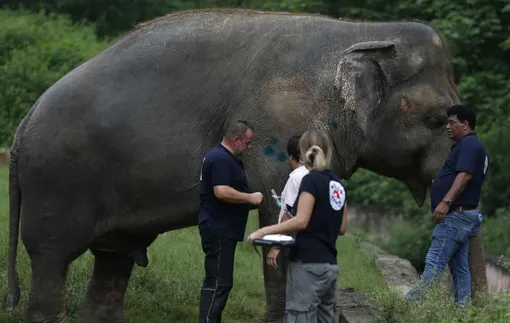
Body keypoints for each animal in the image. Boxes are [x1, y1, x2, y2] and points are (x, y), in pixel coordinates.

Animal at [1, 6, 480, 323]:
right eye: (438, 118)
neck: (362, 34)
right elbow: (278, 217)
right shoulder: (283, 125)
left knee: (113, 257)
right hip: (60, 181)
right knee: (53, 254)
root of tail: (22, 126)